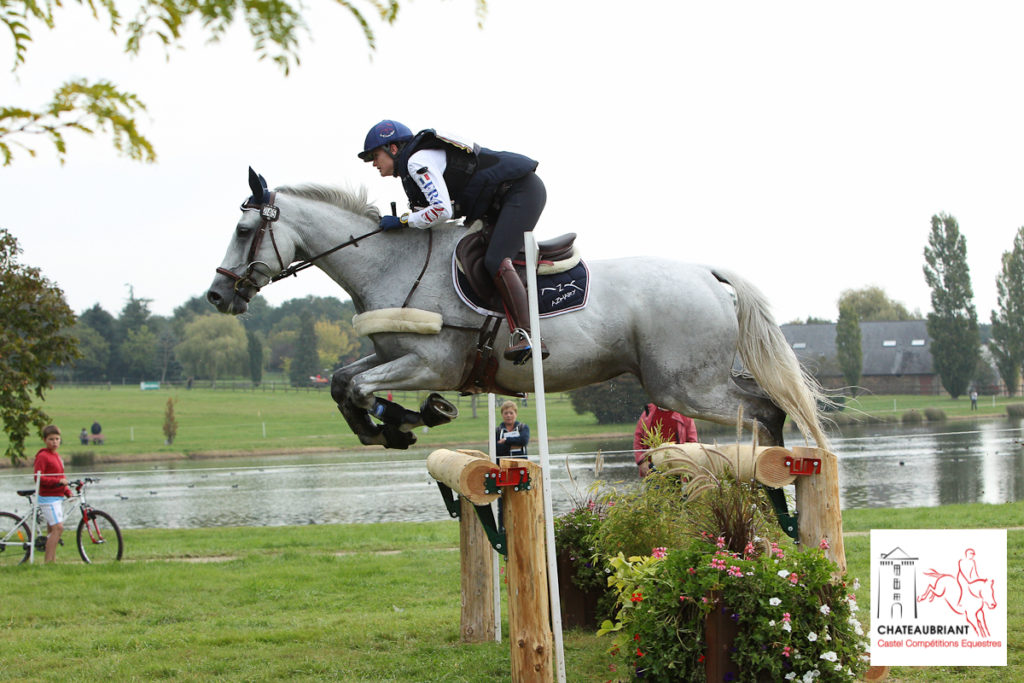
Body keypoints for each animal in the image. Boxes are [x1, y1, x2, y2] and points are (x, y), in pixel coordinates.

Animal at [207, 167, 831, 450]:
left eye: (242, 231)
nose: (217, 295)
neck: (391, 264)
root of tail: (707, 272)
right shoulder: (392, 355)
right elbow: (342, 381)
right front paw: (387, 428)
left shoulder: (431, 364)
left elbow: (361, 388)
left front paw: (413, 419)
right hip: (693, 383)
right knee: (767, 408)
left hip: (685, 386)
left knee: (765, 411)